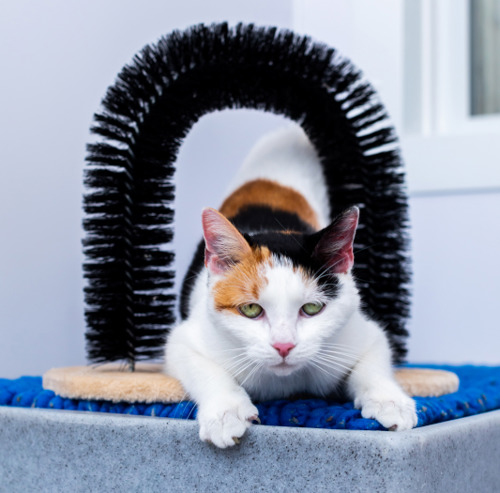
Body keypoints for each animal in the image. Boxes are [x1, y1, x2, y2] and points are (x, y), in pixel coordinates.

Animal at [165, 126, 418, 446]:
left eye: (312, 308)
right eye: (251, 309)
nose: (283, 346)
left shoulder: (362, 334)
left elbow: (373, 363)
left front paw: (389, 401)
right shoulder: (186, 340)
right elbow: (204, 369)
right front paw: (226, 412)